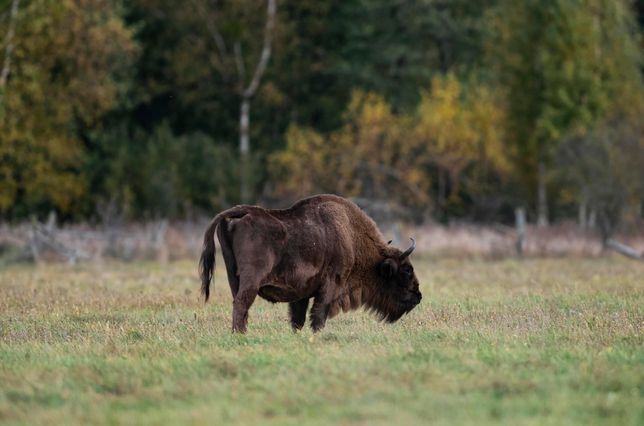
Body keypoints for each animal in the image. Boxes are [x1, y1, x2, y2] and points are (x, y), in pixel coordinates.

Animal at [201, 194, 422, 332]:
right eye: (406, 270)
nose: (418, 296)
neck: (351, 237)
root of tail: (241, 212)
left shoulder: (302, 293)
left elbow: (298, 318)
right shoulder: (331, 286)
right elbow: (318, 316)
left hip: (233, 276)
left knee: (239, 305)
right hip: (251, 281)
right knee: (241, 304)